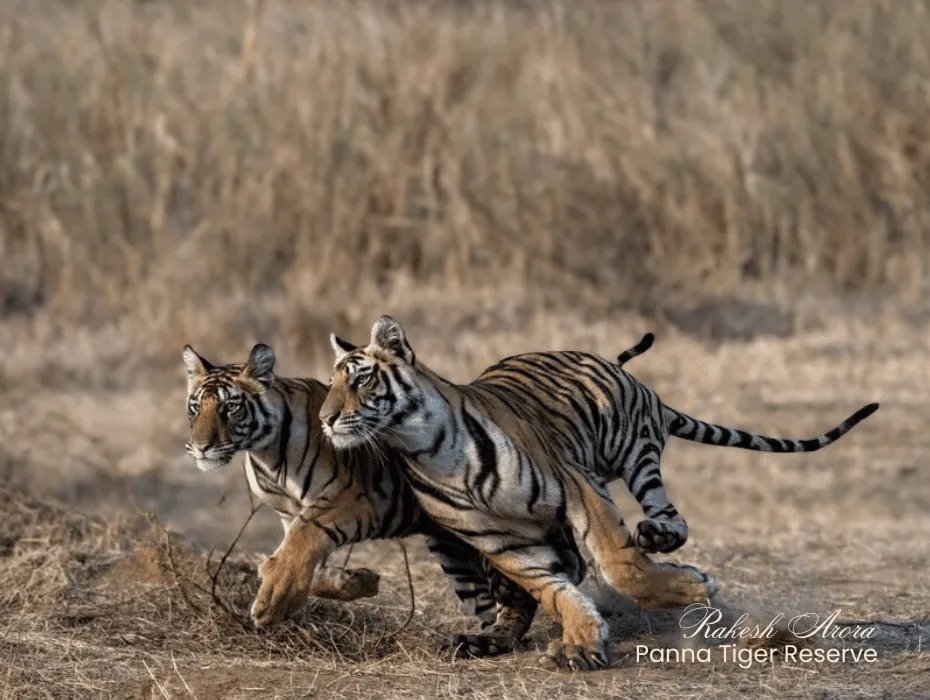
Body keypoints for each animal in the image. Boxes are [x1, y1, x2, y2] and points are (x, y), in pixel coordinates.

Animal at [183, 342, 664, 655]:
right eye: (194, 408)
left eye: (230, 407)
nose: (201, 447)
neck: (265, 457)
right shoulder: (290, 516)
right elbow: (298, 562)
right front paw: (357, 581)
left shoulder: (352, 500)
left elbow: (300, 546)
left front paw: (272, 600)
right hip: (458, 551)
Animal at [319, 316, 879, 670]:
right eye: (331, 383)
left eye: (361, 381)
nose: (324, 418)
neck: (426, 447)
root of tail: (627, 374)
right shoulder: (499, 541)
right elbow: (549, 587)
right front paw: (582, 643)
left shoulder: (575, 488)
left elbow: (619, 564)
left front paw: (692, 587)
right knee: (530, 590)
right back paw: (488, 639)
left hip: (632, 447)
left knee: (665, 513)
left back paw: (658, 537)